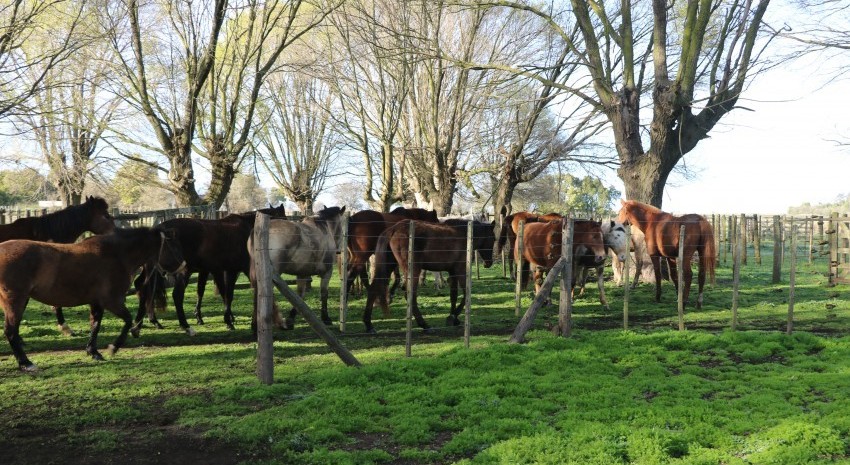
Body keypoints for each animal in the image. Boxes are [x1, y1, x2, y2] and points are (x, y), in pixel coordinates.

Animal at [0, 225, 184, 370]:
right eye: (172, 246)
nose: (182, 267)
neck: (117, 255)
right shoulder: (112, 301)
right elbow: (127, 320)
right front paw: (113, 347)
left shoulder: (97, 302)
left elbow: (95, 326)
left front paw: (93, 352)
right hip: (16, 300)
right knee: (10, 331)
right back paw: (25, 362)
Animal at [360, 218, 494, 332]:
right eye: (493, 239)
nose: (489, 263)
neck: (465, 235)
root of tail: (393, 229)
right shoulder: (460, 270)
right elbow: (466, 293)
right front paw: (452, 317)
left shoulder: (452, 272)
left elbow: (454, 295)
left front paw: (454, 318)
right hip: (413, 270)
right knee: (410, 295)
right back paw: (424, 325)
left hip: (388, 266)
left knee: (373, 289)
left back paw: (368, 325)